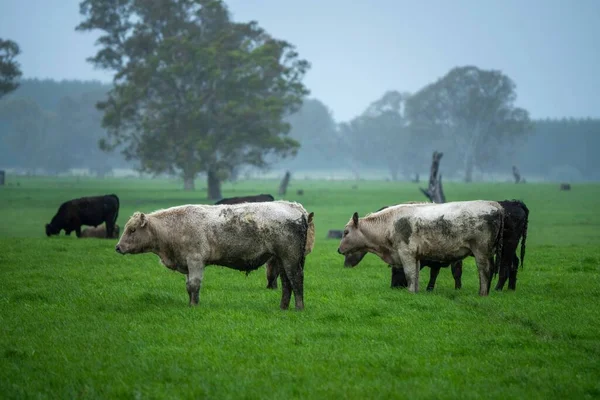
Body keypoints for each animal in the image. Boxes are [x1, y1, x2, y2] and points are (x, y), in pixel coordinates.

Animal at [113, 203, 310, 310]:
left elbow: (194, 285)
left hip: (290, 258)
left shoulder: (195, 260)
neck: (175, 227)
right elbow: (189, 286)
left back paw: (299, 307)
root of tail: (295, 207)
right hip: (281, 259)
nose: (118, 247)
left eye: (132, 230)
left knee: (296, 279)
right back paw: (283, 307)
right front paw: (192, 304)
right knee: (286, 283)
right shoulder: (187, 263)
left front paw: (193, 305)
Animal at [338, 202, 502, 296]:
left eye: (346, 232)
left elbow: (409, 274)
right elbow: (415, 275)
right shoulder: (416, 256)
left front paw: (410, 292)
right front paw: (415, 292)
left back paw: (482, 293)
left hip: (481, 251)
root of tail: (497, 207)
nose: (338, 250)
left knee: (484, 271)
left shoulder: (406, 254)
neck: (388, 224)